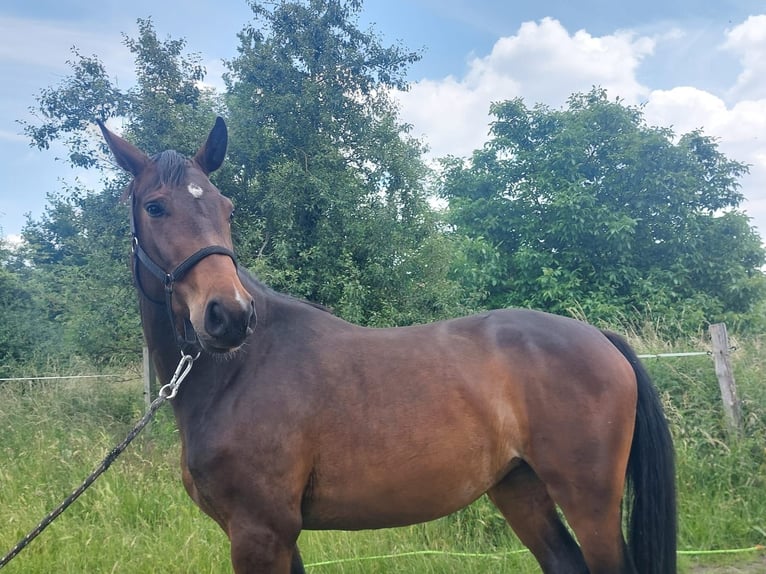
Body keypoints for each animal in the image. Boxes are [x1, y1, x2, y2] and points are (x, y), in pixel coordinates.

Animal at [100, 118, 680, 574]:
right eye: (155, 207)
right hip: (521, 489)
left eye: (228, 208)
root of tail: (599, 337)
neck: (239, 373)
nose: (231, 314)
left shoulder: (259, 532)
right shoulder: (275, 535)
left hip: (589, 502)